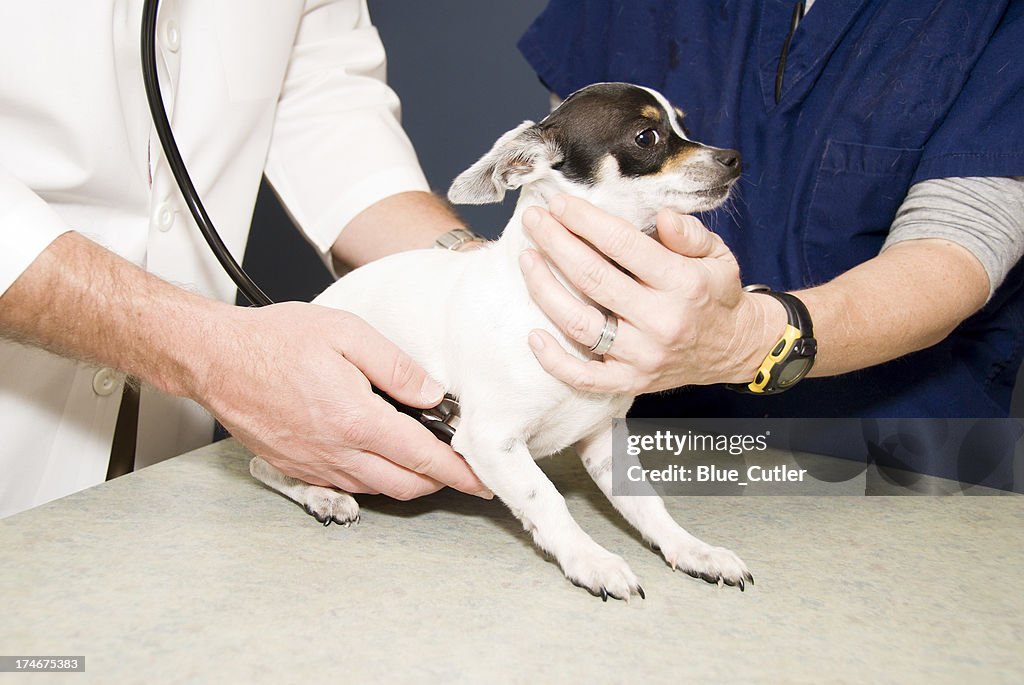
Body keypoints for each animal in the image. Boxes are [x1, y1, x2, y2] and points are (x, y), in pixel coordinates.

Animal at [249, 81, 753, 597]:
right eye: (647, 137)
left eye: (685, 126)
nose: (734, 157)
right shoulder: (491, 440)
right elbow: (547, 498)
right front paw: (590, 559)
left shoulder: (604, 442)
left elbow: (645, 502)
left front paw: (693, 550)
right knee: (263, 466)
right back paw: (321, 494)